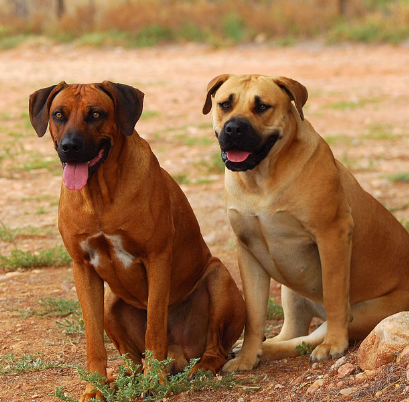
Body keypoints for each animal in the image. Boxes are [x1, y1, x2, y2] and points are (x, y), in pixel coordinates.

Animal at [30, 81, 245, 398]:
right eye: (58, 114)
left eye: (96, 114)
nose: (69, 147)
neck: (100, 194)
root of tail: (179, 355)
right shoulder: (82, 268)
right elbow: (93, 340)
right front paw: (94, 387)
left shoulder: (156, 258)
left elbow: (153, 327)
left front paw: (155, 381)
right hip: (111, 302)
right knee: (132, 358)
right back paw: (124, 377)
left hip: (218, 277)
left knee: (215, 348)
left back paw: (199, 368)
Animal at [202, 74, 408, 372]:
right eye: (225, 104)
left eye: (262, 106)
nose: (234, 128)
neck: (261, 180)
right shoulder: (248, 252)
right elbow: (253, 316)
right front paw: (247, 358)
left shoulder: (332, 235)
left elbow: (334, 296)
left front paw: (334, 344)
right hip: (291, 292)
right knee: (292, 333)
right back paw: (254, 349)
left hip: (365, 312)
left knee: (307, 339)